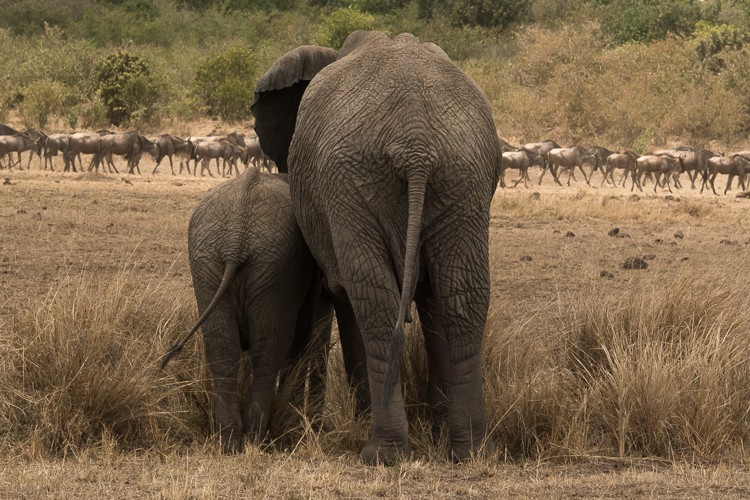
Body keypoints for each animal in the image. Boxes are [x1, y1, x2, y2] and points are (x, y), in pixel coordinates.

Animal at [163, 168, 334, 454]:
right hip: (270, 268)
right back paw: (256, 439)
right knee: (268, 351)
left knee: (223, 348)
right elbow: (300, 337)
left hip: (213, 262)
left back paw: (231, 442)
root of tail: (236, 238)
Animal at [254, 31, 506, 464]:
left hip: (351, 185)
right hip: (463, 177)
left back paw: (382, 452)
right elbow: (435, 304)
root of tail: (417, 144)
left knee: (373, 302)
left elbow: (339, 298)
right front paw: (438, 432)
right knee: (462, 297)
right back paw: (471, 451)